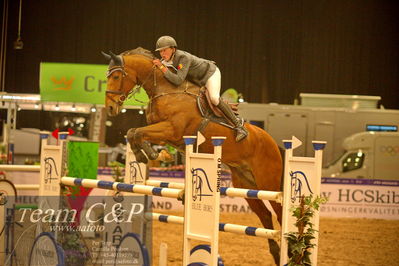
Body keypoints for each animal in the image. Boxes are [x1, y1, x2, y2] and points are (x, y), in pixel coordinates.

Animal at [103, 47, 284, 264]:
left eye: (116, 76)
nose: (110, 108)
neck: (164, 89)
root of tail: (273, 142)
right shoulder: (165, 134)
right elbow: (133, 133)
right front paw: (152, 154)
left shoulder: (171, 130)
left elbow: (137, 132)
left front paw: (149, 154)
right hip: (246, 185)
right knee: (265, 215)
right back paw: (276, 253)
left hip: (268, 184)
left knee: (280, 213)